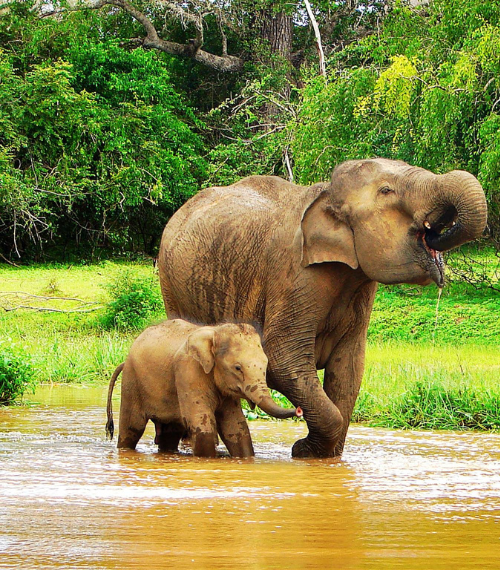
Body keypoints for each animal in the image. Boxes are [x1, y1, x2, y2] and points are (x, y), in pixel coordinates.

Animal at [105, 320, 300, 458]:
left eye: (265, 366)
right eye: (237, 368)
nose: (299, 410)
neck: (215, 332)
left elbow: (235, 425)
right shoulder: (188, 370)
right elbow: (201, 423)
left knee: (170, 432)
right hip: (132, 381)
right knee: (132, 427)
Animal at [158, 156, 486, 458]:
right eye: (386, 190)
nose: (436, 233)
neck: (327, 195)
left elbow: (349, 369)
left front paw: (321, 456)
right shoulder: (293, 275)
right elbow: (282, 359)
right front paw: (304, 451)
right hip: (170, 283)